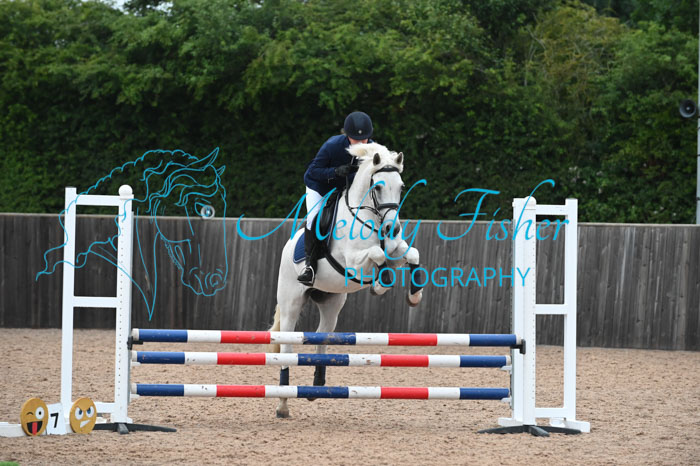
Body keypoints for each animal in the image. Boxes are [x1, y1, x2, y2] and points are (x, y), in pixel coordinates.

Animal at [270, 142, 424, 418]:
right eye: (378, 187)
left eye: (401, 186)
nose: (392, 229)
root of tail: (287, 249)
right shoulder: (353, 262)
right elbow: (377, 256)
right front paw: (380, 284)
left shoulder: (395, 252)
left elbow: (410, 254)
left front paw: (414, 295)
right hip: (291, 304)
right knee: (287, 347)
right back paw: (283, 405)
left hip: (331, 302)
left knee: (322, 335)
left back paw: (317, 386)